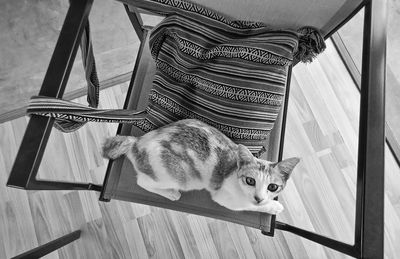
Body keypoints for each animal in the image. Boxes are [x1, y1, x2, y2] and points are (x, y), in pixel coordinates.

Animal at [101, 119, 298, 214]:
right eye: (250, 181)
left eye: (272, 187)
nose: (258, 197)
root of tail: (137, 141)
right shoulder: (226, 200)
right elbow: (249, 206)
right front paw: (273, 207)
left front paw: (268, 202)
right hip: (180, 177)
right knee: (142, 182)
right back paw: (171, 193)